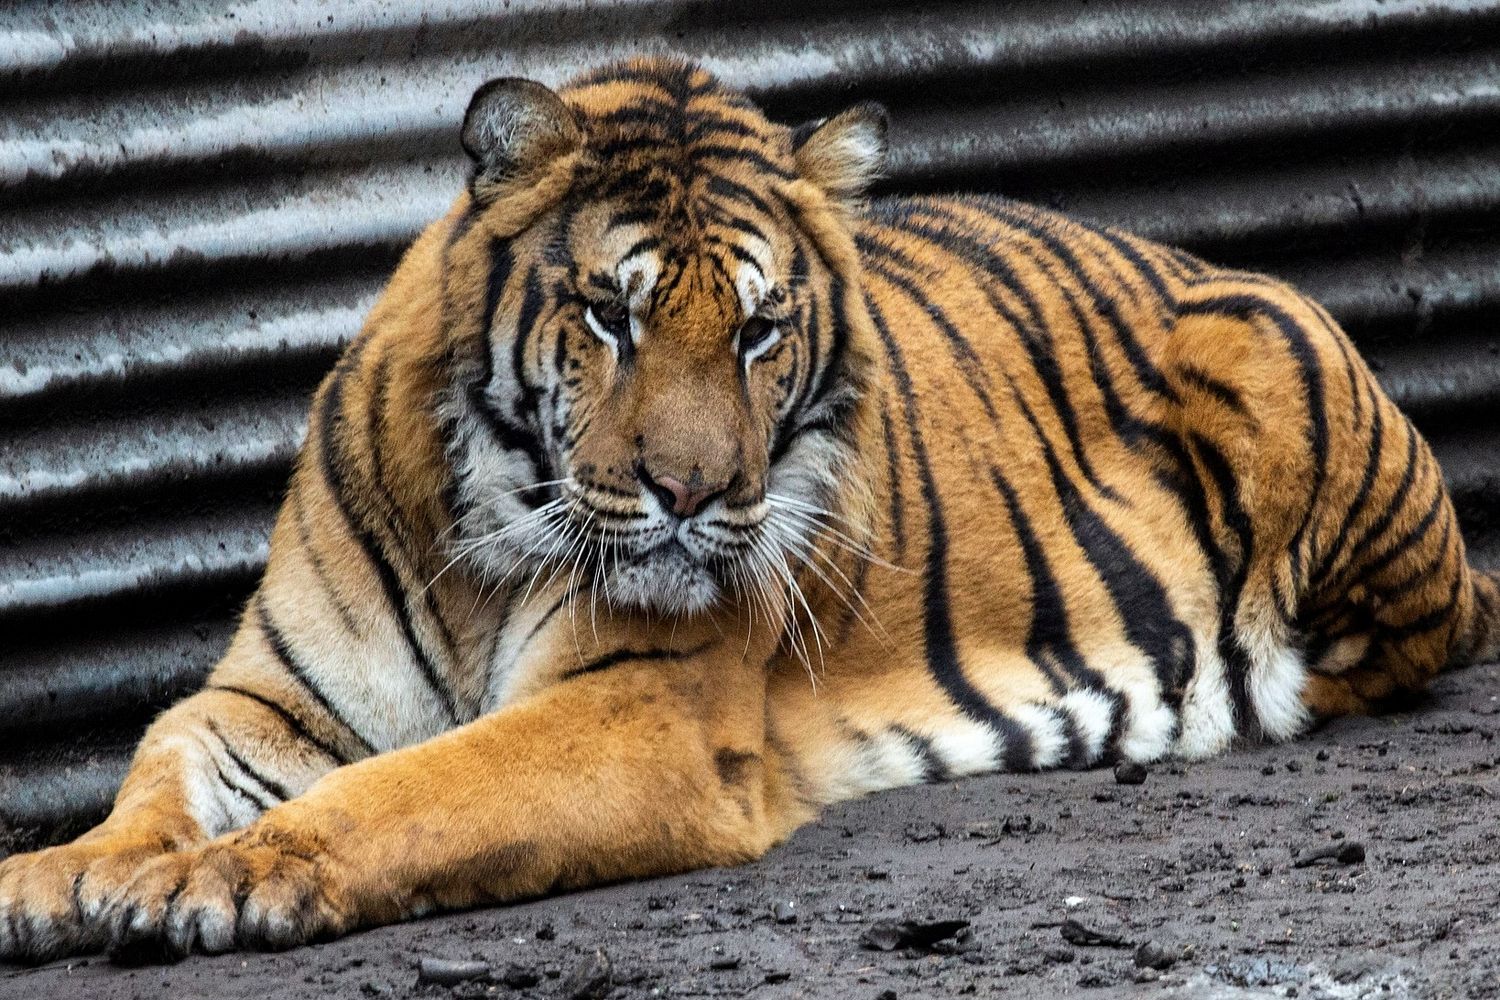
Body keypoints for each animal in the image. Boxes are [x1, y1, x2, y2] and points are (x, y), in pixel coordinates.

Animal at [2, 56, 1496, 964]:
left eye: (760, 331)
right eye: (612, 316)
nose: (694, 492)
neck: (476, 546)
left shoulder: (646, 708)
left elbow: (412, 788)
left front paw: (219, 880)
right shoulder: (272, 698)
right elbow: (163, 765)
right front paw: (67, 874)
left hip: (1273, 348)